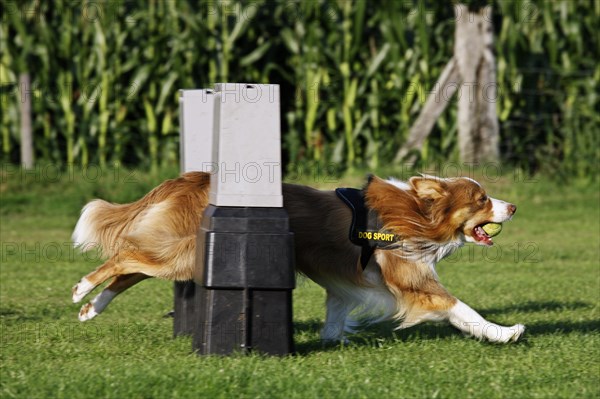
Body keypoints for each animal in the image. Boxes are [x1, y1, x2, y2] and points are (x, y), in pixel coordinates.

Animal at [72, 173, 524, 346]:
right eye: (481, 199)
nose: (514, 207)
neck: (417, 213)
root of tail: (192, 177)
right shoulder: (412, 278)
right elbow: (460, 308)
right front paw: (505, 332)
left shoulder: (346, 280)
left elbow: (337, 310)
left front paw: (332, 339)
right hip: (184, 254)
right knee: (125, 256)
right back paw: (82, 287)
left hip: (182, 253)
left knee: (131, 269)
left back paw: (92, 308)